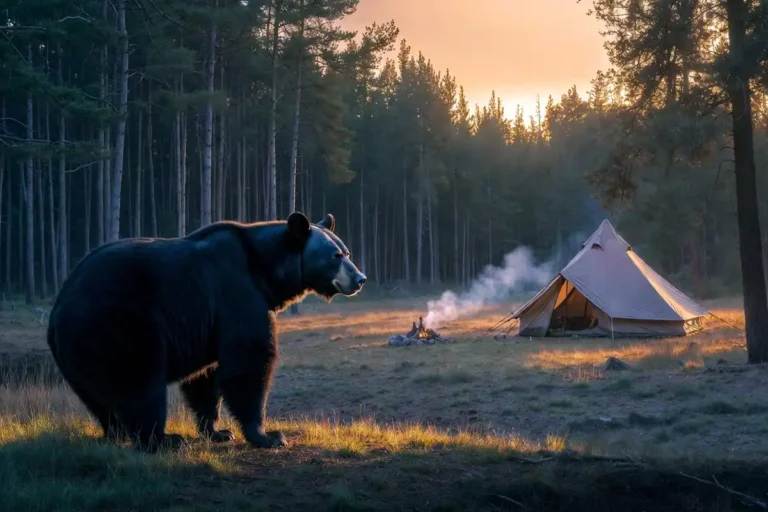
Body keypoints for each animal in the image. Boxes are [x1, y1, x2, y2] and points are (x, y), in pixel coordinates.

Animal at [46, 212, 366, 452]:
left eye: (347, 252)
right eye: (336, 255)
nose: (360, 278)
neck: (266, 273)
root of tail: (57, 311)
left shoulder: (208, 323)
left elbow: (206, 377)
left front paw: (218, 431)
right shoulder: (236, 292)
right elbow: (249, 360)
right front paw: (269, 435)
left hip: (82, 353)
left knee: (100, 400)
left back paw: (117, 433)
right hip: (123, 327)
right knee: (141, 385)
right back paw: (164, 439)